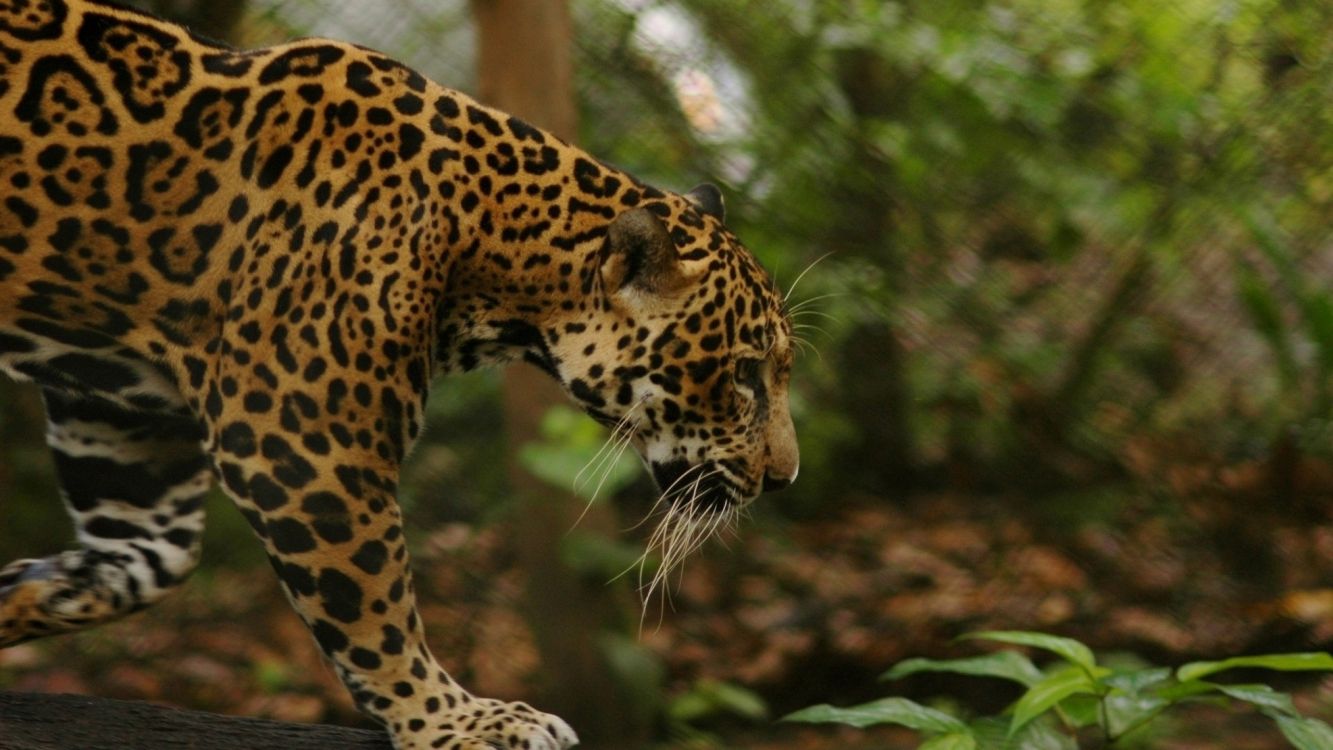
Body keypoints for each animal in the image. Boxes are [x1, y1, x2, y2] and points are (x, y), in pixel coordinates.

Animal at [0, 1, 800, 748]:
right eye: (745, 373)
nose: (782, 478)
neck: (488, 244)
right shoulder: (302, 450)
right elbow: (373, 613)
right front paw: (457, 720)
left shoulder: (124, 421)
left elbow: (144, 562)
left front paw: (27, 592)